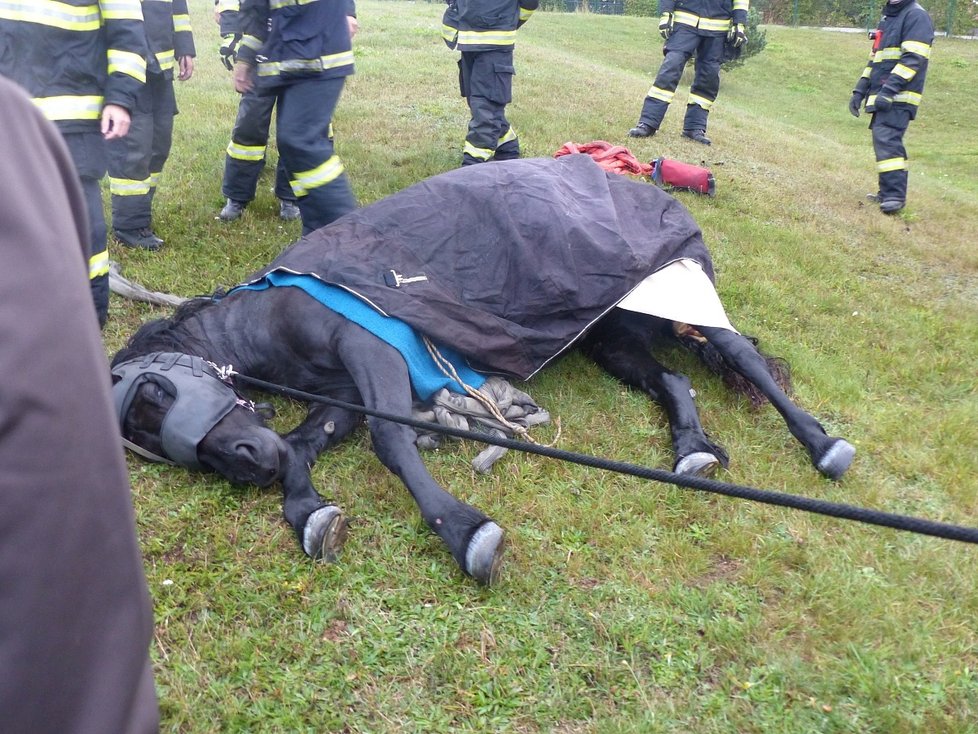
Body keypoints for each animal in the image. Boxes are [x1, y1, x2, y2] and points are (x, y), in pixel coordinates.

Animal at [110, 154, 852, 588]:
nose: (246, 462)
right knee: (673, 380)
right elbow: (302, 443)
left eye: (155, 394)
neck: (276, 314)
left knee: (741, 355)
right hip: (609, 338)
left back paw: (823, 445)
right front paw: (309, 511)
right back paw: (692, 449)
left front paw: (465, 532)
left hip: (672, 292)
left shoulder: (372, 351)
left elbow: (392, 440)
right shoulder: (344, 393)